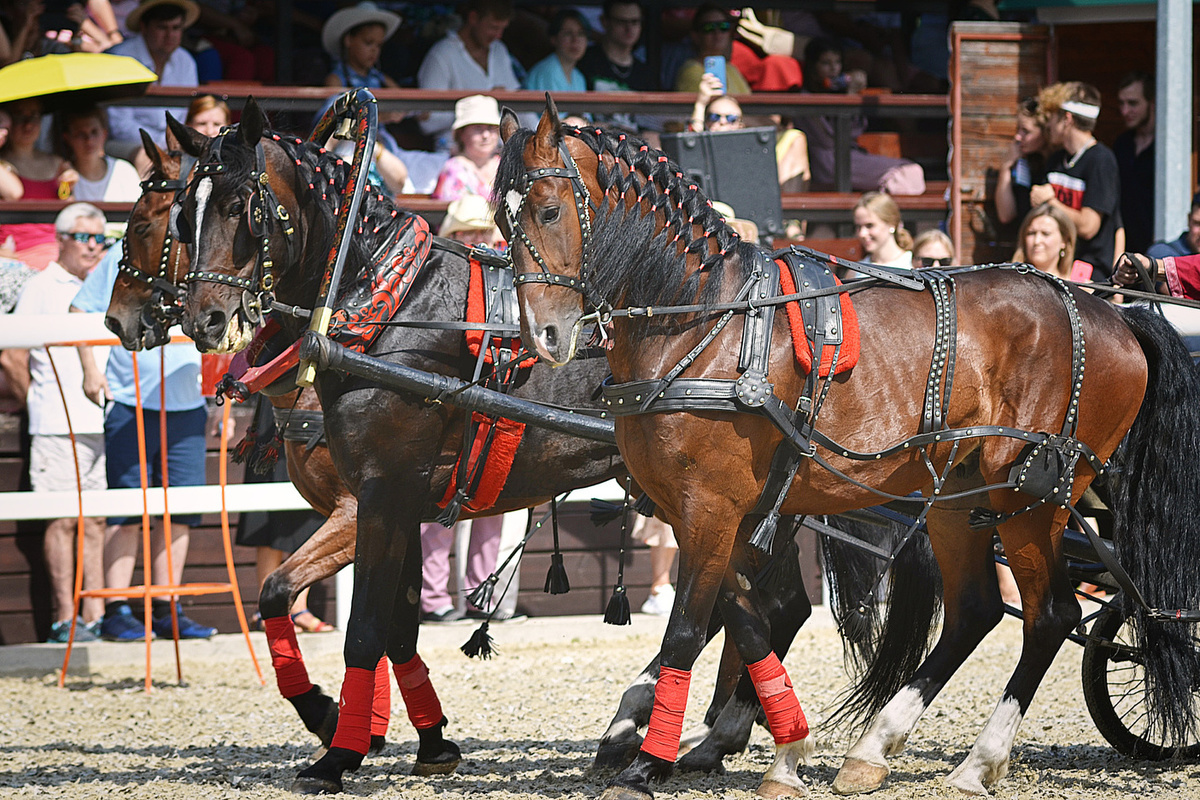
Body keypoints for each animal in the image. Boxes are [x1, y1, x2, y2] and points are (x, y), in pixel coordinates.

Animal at [159, 104, 907, 796]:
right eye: (177, 215)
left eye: (238, 207)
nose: (203, 319)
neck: (388, 310)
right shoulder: (399, 506)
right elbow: (378, 619)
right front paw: (421, 738)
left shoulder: (375, 496)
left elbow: (359, 623)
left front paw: (336, 743)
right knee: (764, 606)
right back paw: (707, 735)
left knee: (775, 605)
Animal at [499, 101, 1200, 800]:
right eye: (504, 219)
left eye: (550, 211)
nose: (544, 334)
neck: (705, 323)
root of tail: (1110, 313)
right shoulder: (705, 513)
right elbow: (749, 619)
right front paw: (784, 749)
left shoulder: (710, 508)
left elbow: (689, 630)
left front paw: (646, 765)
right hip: (959, 495)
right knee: (974, 610)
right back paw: (874, 747)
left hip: (1030, 497)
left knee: (1050, 614)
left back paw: (978, 761)